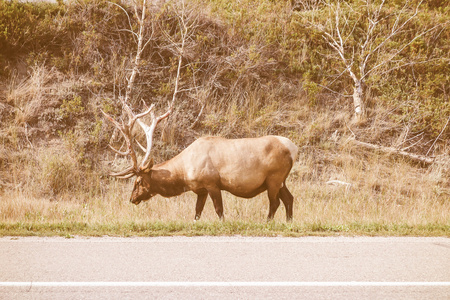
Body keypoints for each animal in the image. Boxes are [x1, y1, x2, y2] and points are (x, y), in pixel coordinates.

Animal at [102, 100, 298, 220]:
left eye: (138, 181)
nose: (132, 199)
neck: (184, 174)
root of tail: (293, 148)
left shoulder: (212, 184)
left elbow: (219, 211)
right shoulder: (200, 190)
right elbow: (197, 212)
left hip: (274, 178)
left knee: (275, 202)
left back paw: (268, 222)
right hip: (281, 180)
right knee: (289, 199)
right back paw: (288, 222)